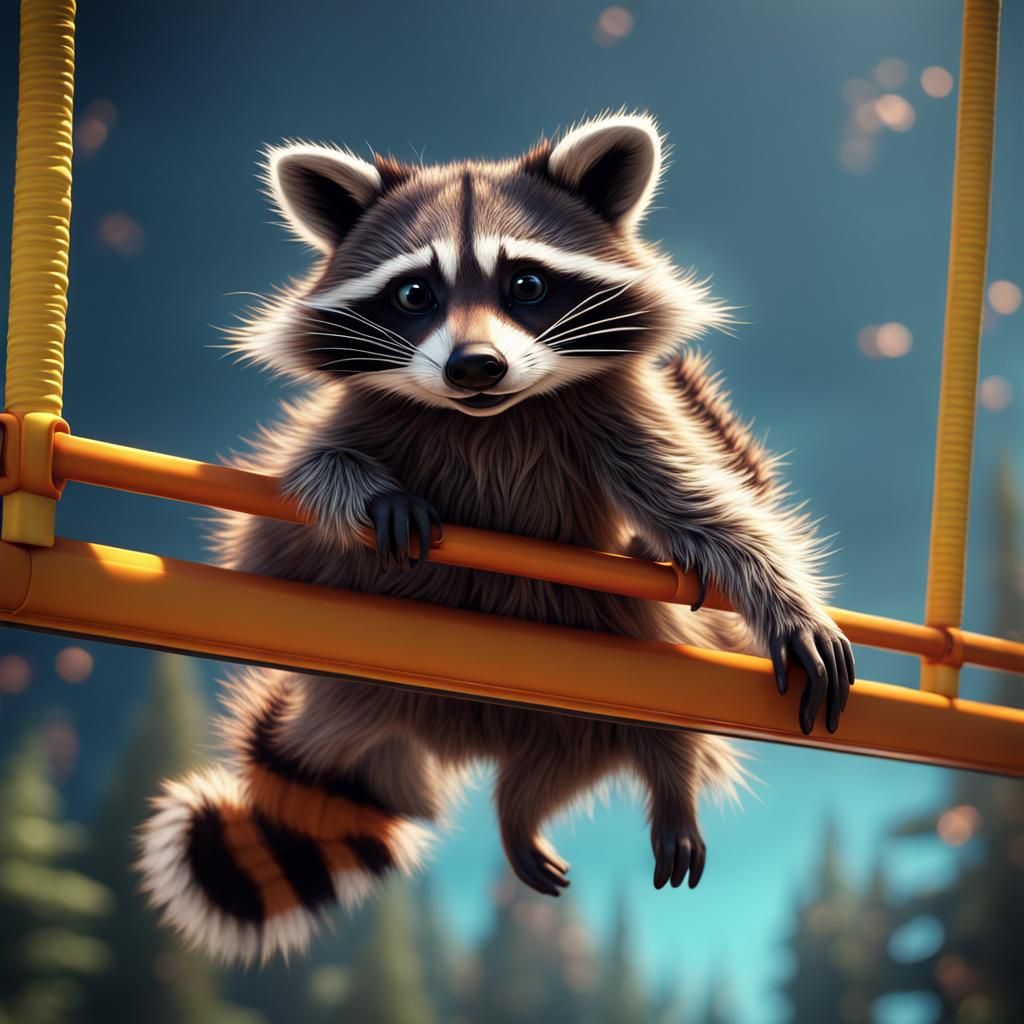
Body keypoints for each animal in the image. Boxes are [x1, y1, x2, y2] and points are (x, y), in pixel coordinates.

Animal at [138, 113, 854, 965]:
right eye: (415, 293)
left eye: (528, 286)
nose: (474, 367)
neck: (491, 418)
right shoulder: (359, 418)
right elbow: (302, 482)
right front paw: (366, 491)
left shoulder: (618, 416)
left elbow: (706, 510)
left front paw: (785, 601)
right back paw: (525, 806)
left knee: (652, 672)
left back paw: (662, 774)